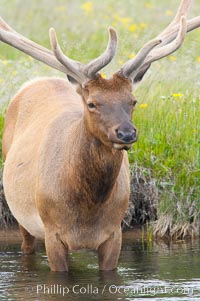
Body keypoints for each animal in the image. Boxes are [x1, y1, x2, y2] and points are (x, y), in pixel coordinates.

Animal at [0, 0, 200, 270]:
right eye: (92, 103)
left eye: (133, 100)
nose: (126, 133)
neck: (86, 212)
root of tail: (36, 81)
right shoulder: (52, 233)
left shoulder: (114, 233)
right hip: (21, 216)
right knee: (26, 247)